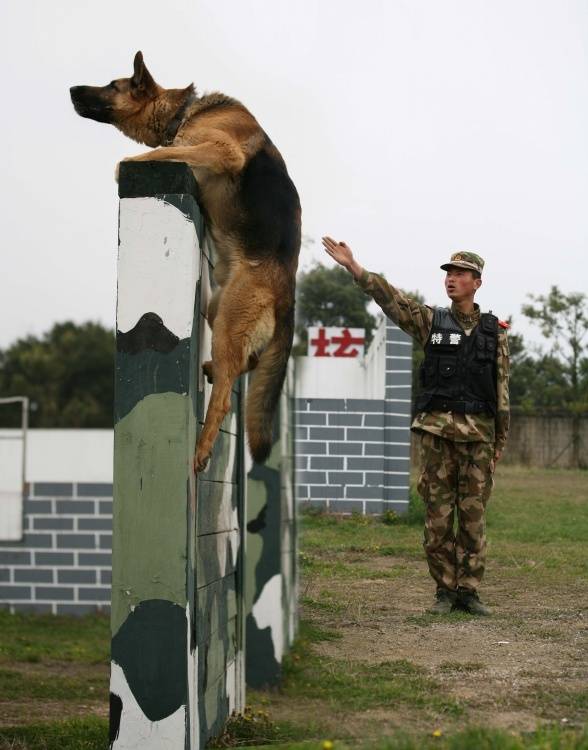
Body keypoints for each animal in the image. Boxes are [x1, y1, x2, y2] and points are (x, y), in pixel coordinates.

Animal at [70, 53, 298, 472]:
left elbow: (165, 151)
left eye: (112, 85)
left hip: (226, 326)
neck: (183, 113)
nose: (71, 89)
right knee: (247, 363)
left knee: (224, 397)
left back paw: (203, 449)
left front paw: (125, 162)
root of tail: (285, 294)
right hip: (217, 307)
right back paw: (211, 372)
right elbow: (170, 148)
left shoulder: (221, 149)